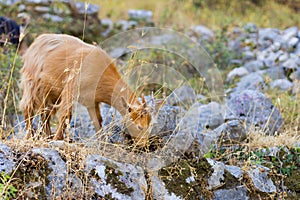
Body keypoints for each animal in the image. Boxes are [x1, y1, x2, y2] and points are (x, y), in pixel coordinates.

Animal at [19, 33, 152, 145]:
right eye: (140, 127)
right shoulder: (70, 88)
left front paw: (102, 141)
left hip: (50, 93)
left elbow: (97, 120)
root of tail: (36, 42)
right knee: (28, 107)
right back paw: (31, 135)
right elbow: (66, 115)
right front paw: (57, 139)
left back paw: (47, 136)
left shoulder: (92, 101)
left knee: (45, 113)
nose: (143, 145)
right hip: (32, 84)